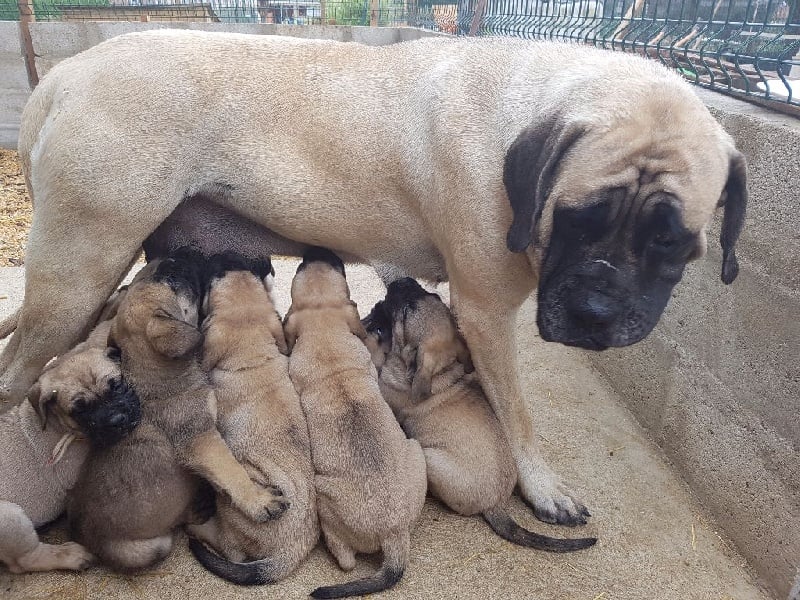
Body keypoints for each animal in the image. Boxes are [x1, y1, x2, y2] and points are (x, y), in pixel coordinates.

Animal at [0, 30, 748, 524]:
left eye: (672, 242)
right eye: (578, 219)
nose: (596, 311)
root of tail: (61, 78)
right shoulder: (486, 313)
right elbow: (517, 412)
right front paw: (542, 486)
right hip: (78, 274)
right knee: (16, 375)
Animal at [0, 310, 140, 572]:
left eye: (117, 385)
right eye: (80, 410)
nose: (117, 419)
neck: (62, 426)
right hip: (12, 518)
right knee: (25, 560)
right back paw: (70, 555)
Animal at [68, 250, 288, 572]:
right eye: (171, 282)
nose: (177, 256)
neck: (156, 373)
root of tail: (84, 540)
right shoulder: (202, 440)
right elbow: (231, 470)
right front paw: (259, 500)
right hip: (153, 547)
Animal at [366, 278, 596, 552]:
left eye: (407, 310)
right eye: (433, 295)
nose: (403, 280)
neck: (443, 372)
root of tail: (495, 504)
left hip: (429, 456)